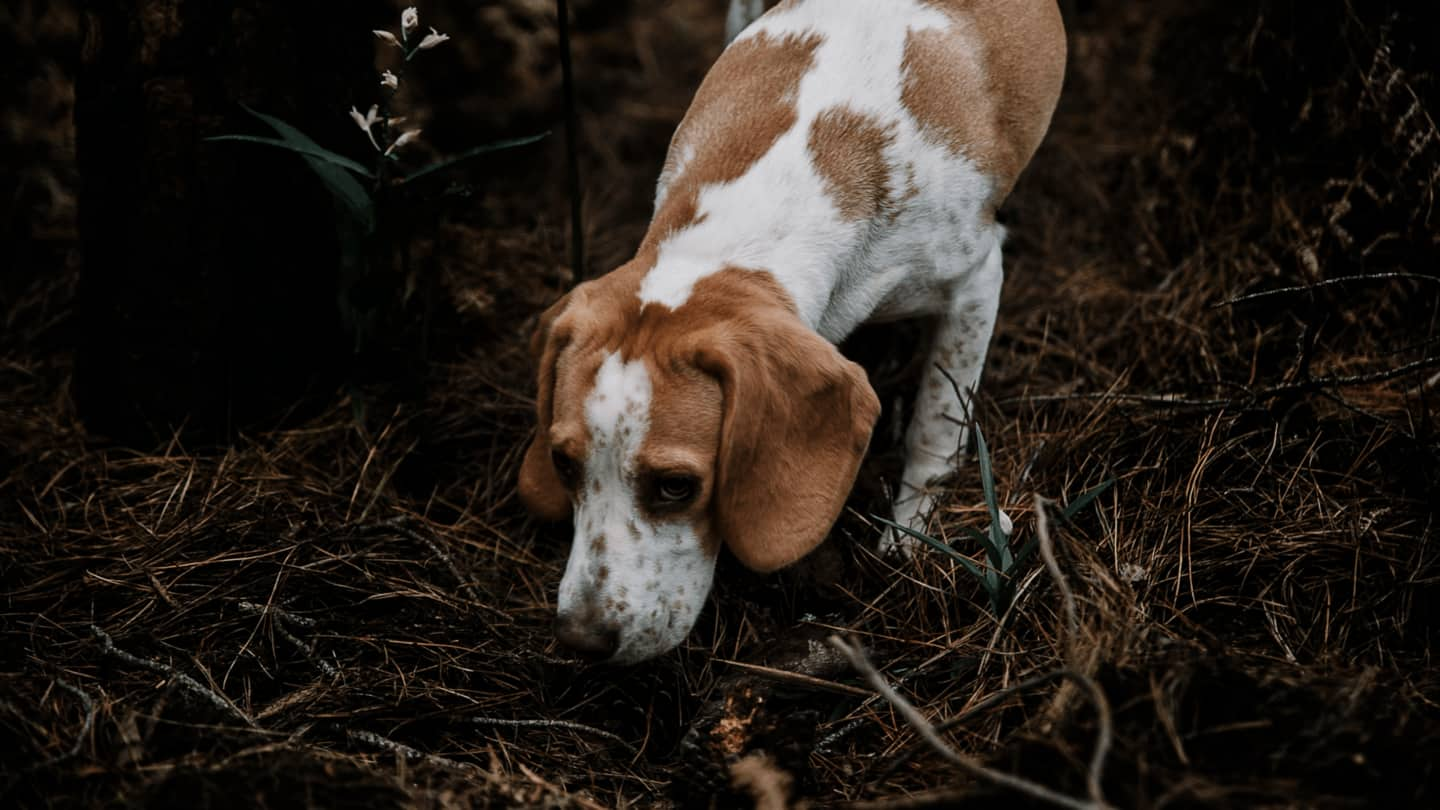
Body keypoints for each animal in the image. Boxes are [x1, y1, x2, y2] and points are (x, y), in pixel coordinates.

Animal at [524, 0, 1065, 662]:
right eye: (562, 463)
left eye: (676, 486)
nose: (581, 641)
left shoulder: (976, 280)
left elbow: (935, 425)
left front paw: (910, 535)